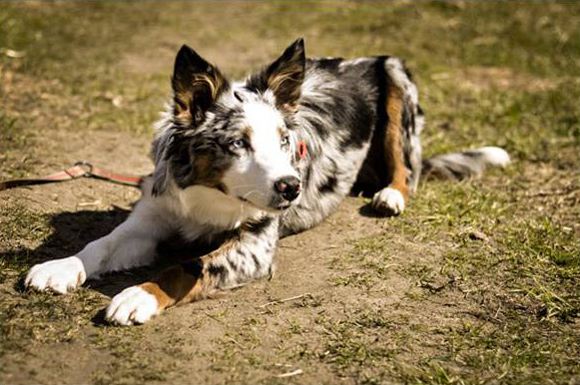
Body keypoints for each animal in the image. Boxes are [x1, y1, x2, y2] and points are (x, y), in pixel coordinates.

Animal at [24, 38, 510, 324]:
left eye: (283, 139)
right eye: (238, 143)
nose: (291, 188)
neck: (209, 195)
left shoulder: (255, 245)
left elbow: (188, 265)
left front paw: (138, 296)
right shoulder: (150, 219)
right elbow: (101, 244)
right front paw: (59, 267)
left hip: (396, 82)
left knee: (407, 168)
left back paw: (391, 195)